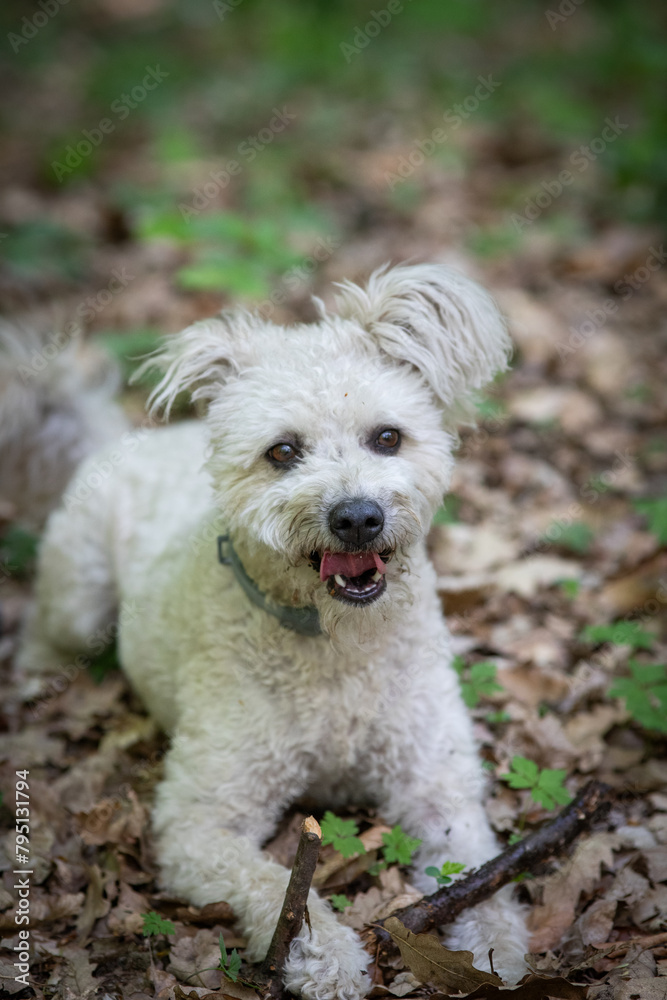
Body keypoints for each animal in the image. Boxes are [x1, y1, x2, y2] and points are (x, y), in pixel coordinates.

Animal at [17, 266, 528, 1000]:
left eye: (387, 437)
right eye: (282, 451)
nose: (357, 517)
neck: (336, 647)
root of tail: (122, 440)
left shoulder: (435, 777)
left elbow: (476, 869)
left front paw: (495, 947)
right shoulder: (199, 820)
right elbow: (275, 883)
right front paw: (330, 957)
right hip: (78, 595)